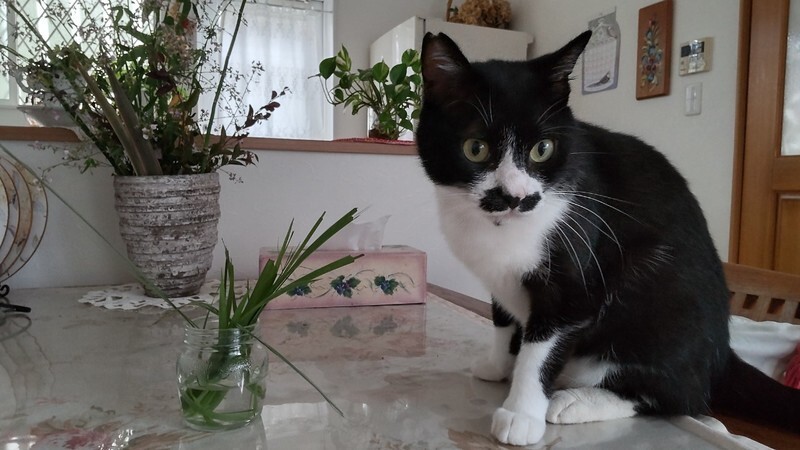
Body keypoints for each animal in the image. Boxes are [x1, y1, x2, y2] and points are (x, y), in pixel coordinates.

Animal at [416, 30, 800, 446]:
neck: (498, 227)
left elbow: (542, 349)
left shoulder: (573, 279)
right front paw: (498, 363)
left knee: (678, 396)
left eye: (542, 149)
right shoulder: (499, 276)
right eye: (476, 148)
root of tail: (723, 351)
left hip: (657, 305)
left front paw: (521, 412)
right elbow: (502, 318)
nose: (517, 197)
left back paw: (576, 402)